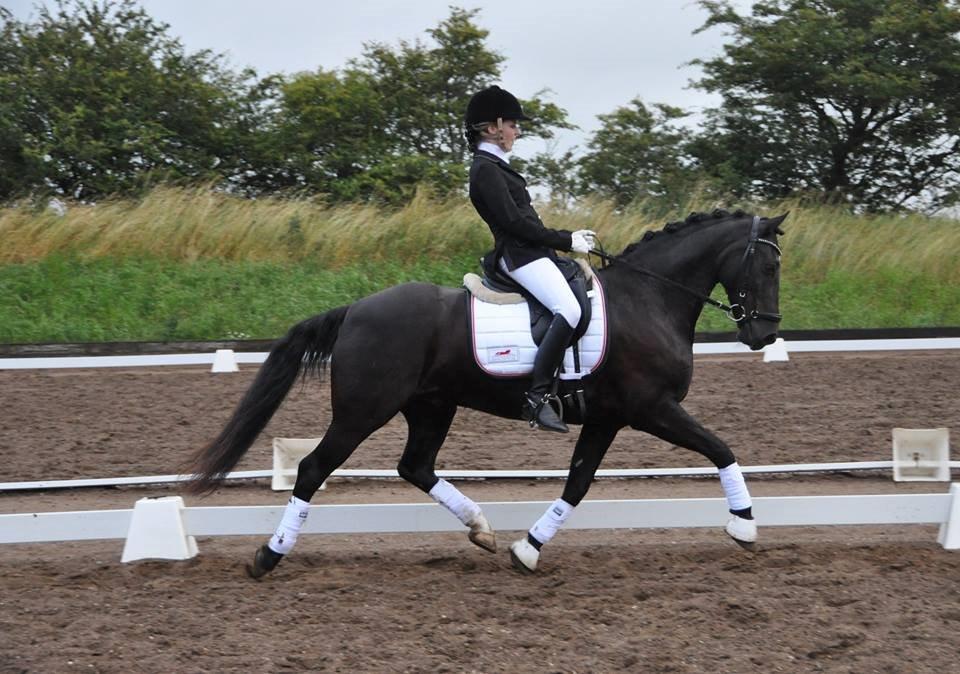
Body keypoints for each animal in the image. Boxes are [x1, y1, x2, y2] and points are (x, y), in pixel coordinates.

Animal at [186, 209, 788, 572]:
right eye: (766, 265)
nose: (765, 334)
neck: (649, 300)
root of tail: (356, 309)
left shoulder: (606, 418)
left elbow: (577, 484)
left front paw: (528, 549)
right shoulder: (652, 408)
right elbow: (721, 449)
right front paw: (744, 526)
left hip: (432, 406)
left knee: (416, 466)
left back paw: (482, 529)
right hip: (363, 411)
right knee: (313, 469)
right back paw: (269, 556)